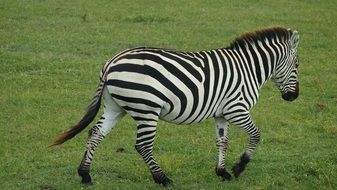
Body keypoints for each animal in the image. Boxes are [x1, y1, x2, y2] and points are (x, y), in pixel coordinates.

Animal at [49, 26, 300, 186]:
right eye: (297, 64)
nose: (294, 97)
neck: (249, 69)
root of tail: (112, 61)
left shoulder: (221, 114)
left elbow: (222, 141)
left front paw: (222, 172)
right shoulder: (236, 110)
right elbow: (256, 135)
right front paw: (239, 166)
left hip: (114, 107)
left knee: (95, 134)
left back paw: (85, 175)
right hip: (147, 109)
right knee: (142, 145)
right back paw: (162, 179)